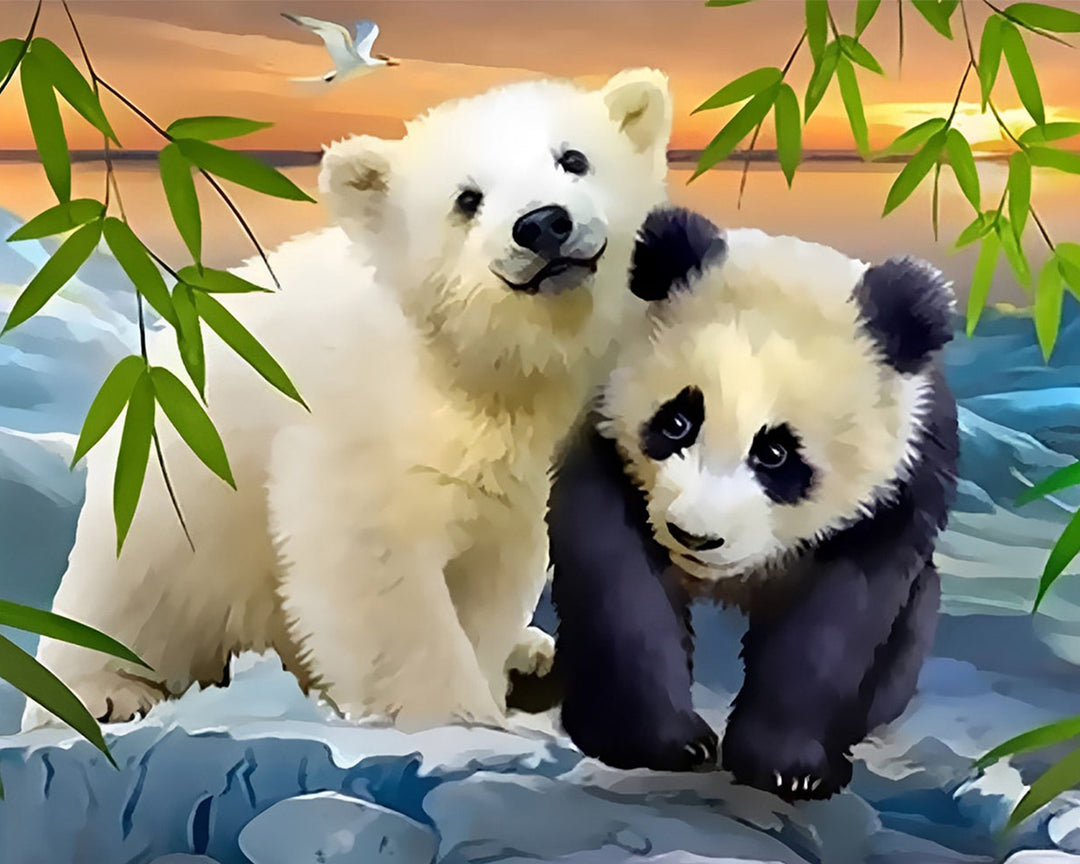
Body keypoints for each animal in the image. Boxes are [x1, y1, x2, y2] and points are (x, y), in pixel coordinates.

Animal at [547, 206, 959, 801]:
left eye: (776, 454)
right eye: (678, 422)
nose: (694, 537)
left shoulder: (896, 490)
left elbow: (837, 621)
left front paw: (789, 767)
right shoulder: (609, 444)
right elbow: (619, 583)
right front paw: (657, 742)